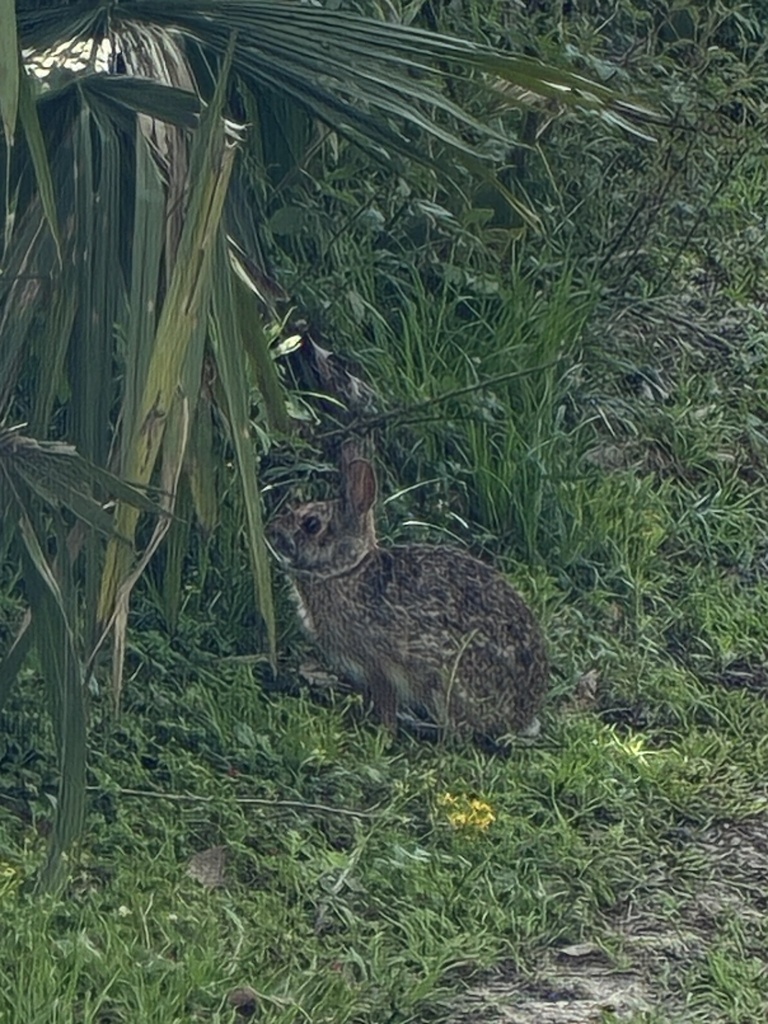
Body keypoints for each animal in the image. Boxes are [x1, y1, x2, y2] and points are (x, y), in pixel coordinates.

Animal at [268, 451, 548, 744]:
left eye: (311, 524)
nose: (271, 530)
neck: (348, 570)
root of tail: (521, 717)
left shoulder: (379, 666)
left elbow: (386, 702)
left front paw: (383, 734)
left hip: (445, 681)